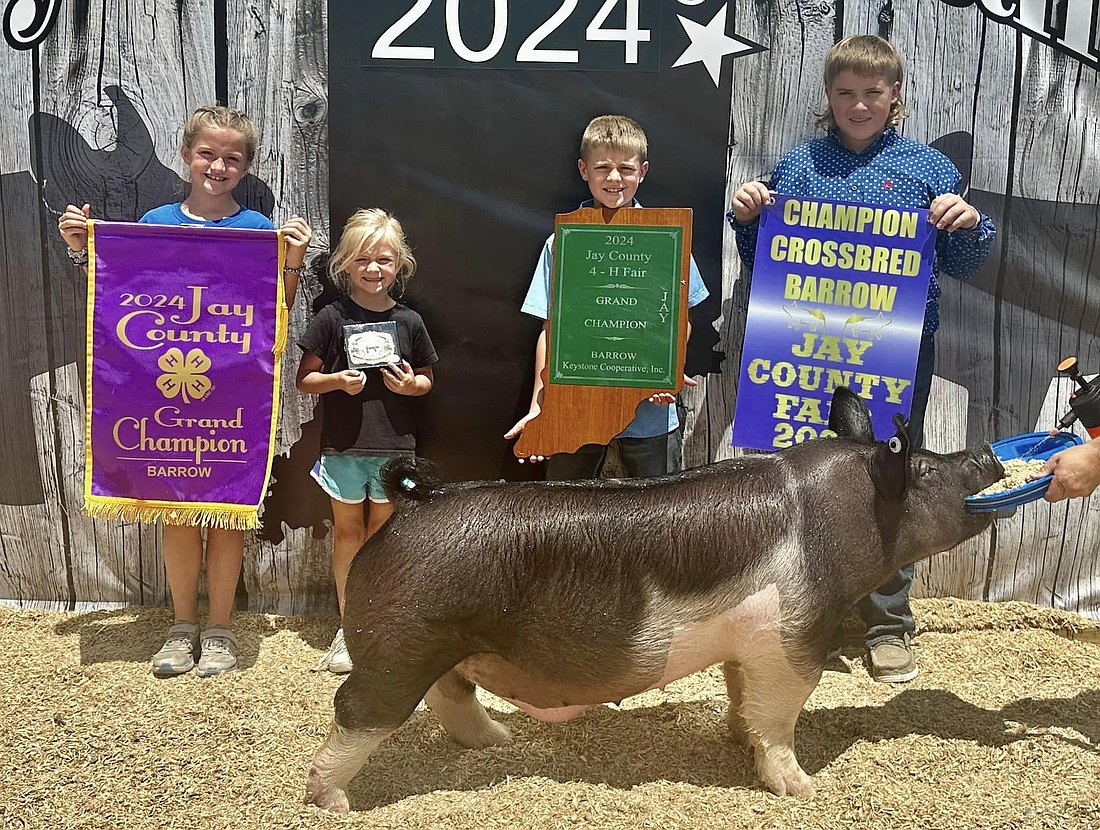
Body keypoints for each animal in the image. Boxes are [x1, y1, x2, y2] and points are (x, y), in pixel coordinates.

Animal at [305, 386, 1003, 813]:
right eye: (925, 471)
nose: (987, 455)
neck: (827, 523)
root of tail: (417, 505)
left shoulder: (749, 646)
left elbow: (744, 700)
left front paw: (735, 740)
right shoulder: (792, 638)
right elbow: (780, 719)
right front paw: (802, 791)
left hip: (442, 643)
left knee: (451, 694)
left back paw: (497, 741)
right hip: (401, 641)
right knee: (357, 708)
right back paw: (333, 804)